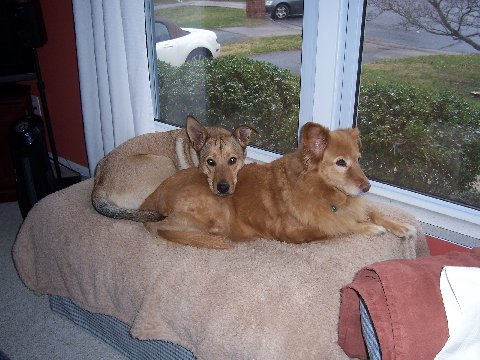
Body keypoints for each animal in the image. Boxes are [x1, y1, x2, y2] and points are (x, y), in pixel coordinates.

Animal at [140, 122, 416, 249]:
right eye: (340, 162)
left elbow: (373, 211)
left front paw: (400, 226)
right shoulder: (297, 232)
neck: (319, 191)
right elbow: (341, 228)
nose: (367, 187)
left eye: (358, 160)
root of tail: (151, 199)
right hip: (216, 208)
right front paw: (371, 228)